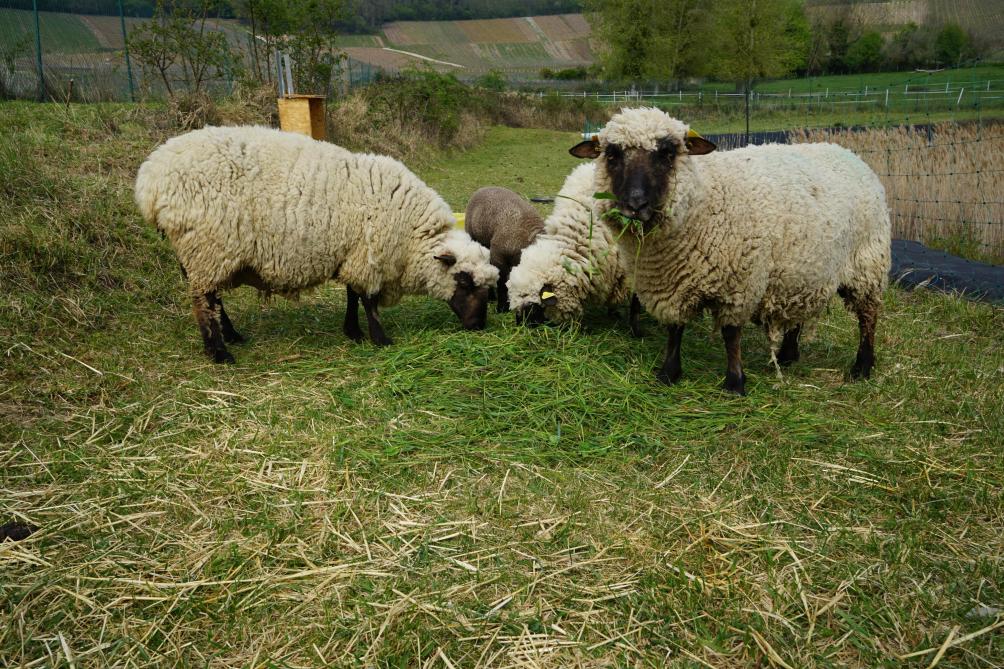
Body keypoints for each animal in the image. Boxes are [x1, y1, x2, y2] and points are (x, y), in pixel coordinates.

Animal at [135, 125, 498, 363]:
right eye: (465, 281)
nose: (479, 326)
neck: (412, 238)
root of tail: (151, 178)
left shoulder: (354, 253)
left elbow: (352, 296)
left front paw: (353, 332)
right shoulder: (369, 255)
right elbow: (368, 300)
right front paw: (380, 339)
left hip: (204, 253)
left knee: (212, 298)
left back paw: (231, 337)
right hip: (207, 245)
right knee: (203, 302)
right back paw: (219, 352)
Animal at [569, 108, 890, 395]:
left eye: (667, 153)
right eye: (612, 155)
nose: (635, 205)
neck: (703, 200)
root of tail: (848, 153)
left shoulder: (739, 283)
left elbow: (730, 335)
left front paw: (735, 382)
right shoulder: (671, 282)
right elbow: (675, 329)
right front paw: (669, 373)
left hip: (866, 262)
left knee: (868, 317)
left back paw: (862, 367)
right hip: (802, 268)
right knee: (795, 310)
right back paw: (787, 355)